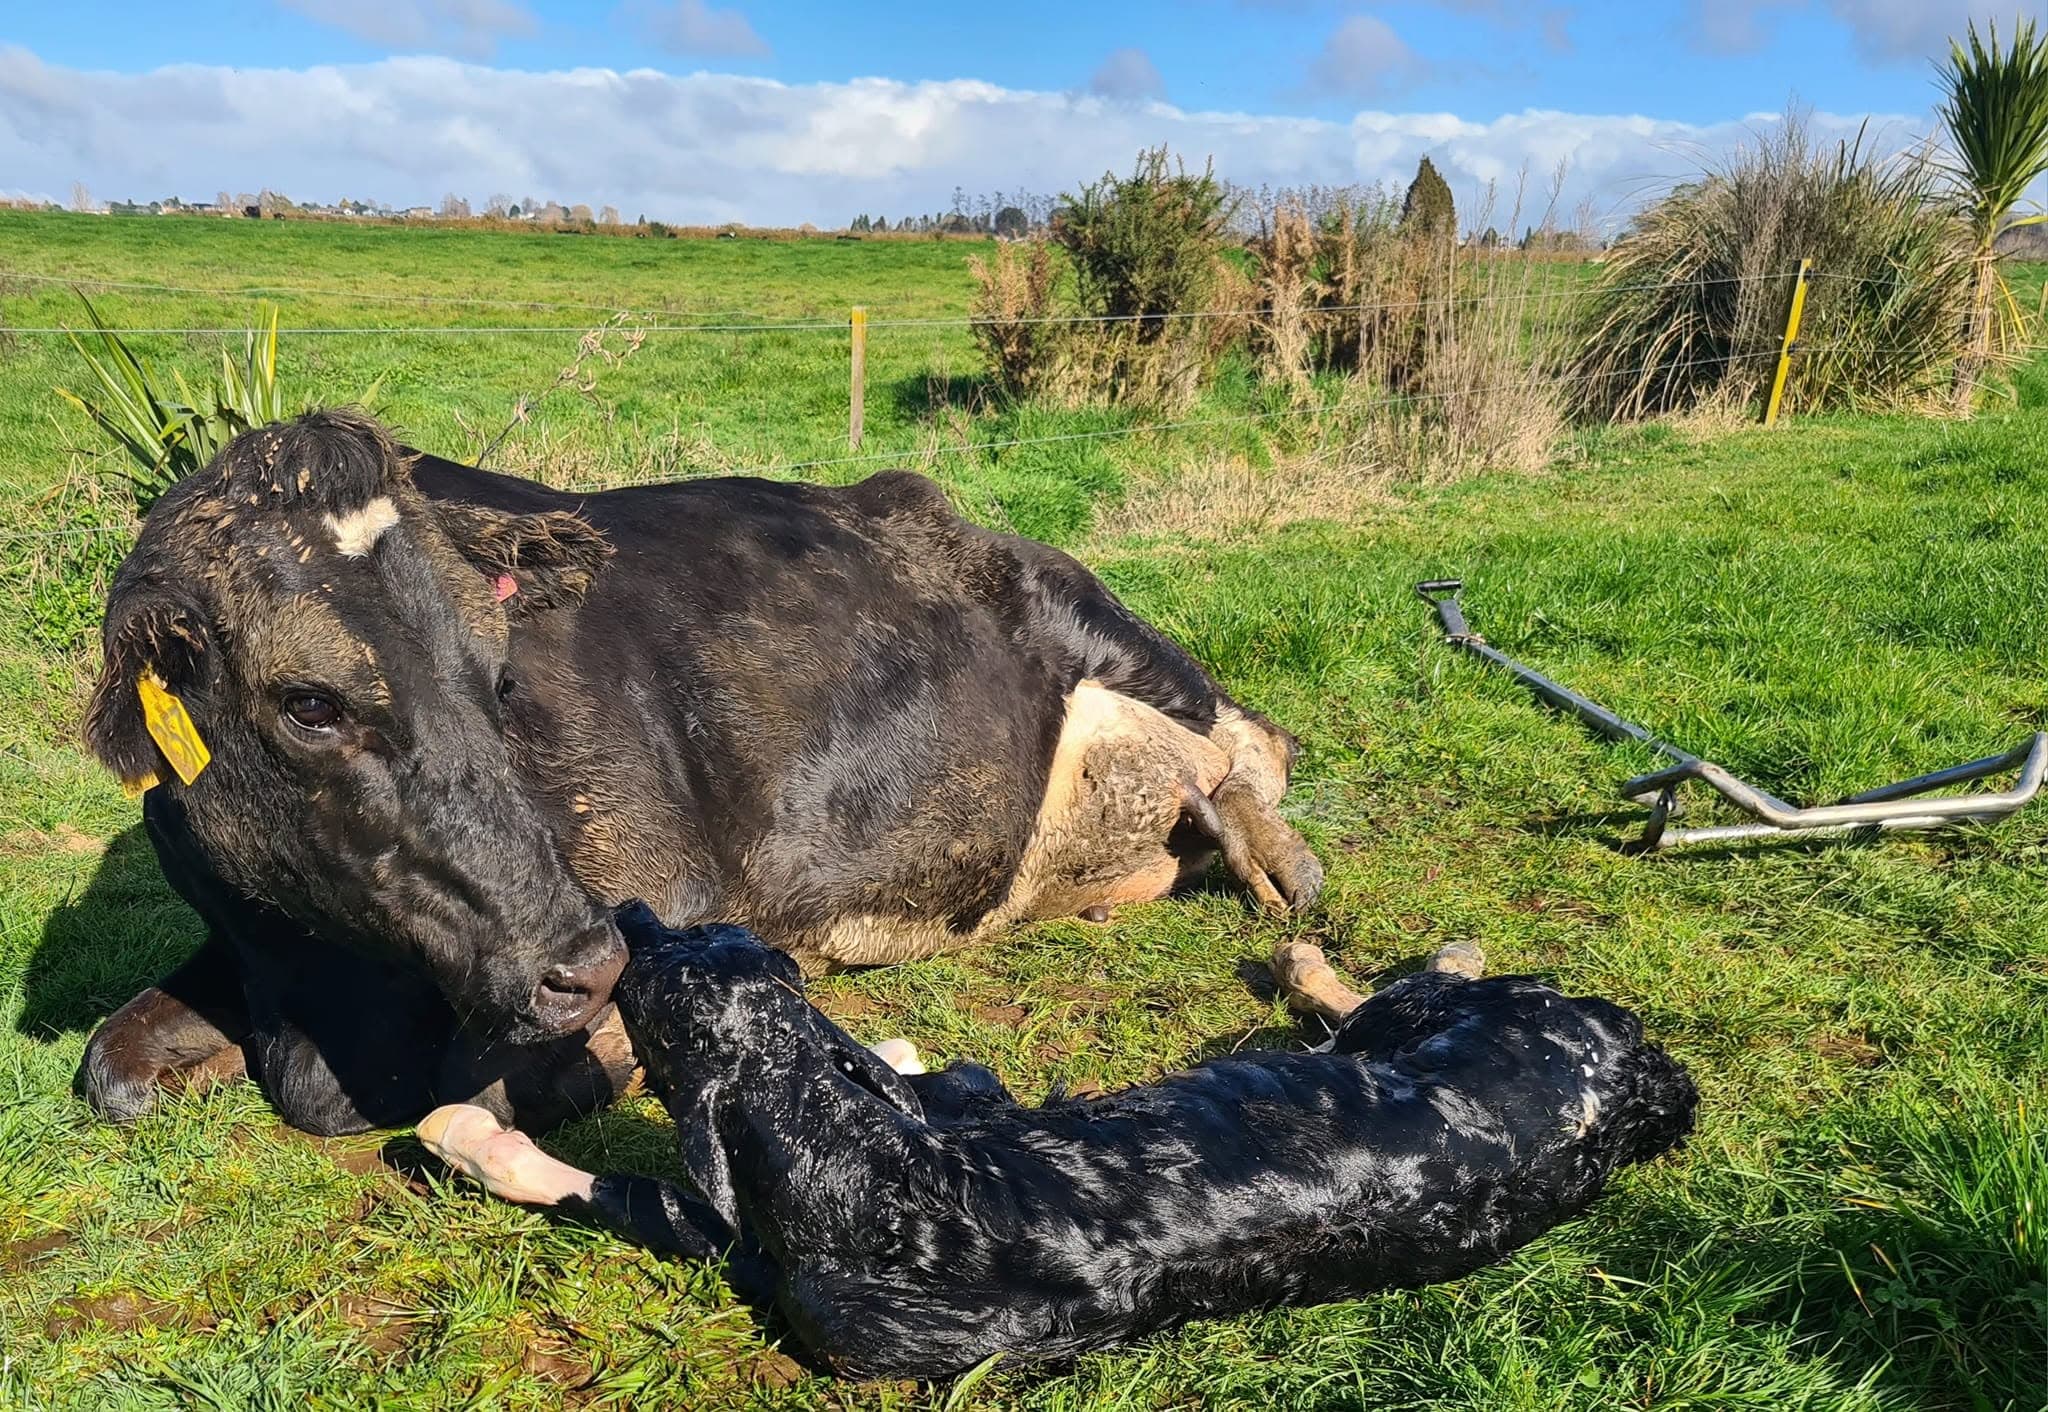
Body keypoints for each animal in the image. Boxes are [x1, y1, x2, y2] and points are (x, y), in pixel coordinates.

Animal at [77, 409, 1324, 1137]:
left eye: (499, 670)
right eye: (308, 702)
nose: (582, 961)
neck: (335, 1000)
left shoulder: (658, 887)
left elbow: (489, 1089)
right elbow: (107, 1063)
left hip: (1101, 624)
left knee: (1258, 745)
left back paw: (1273, 855)